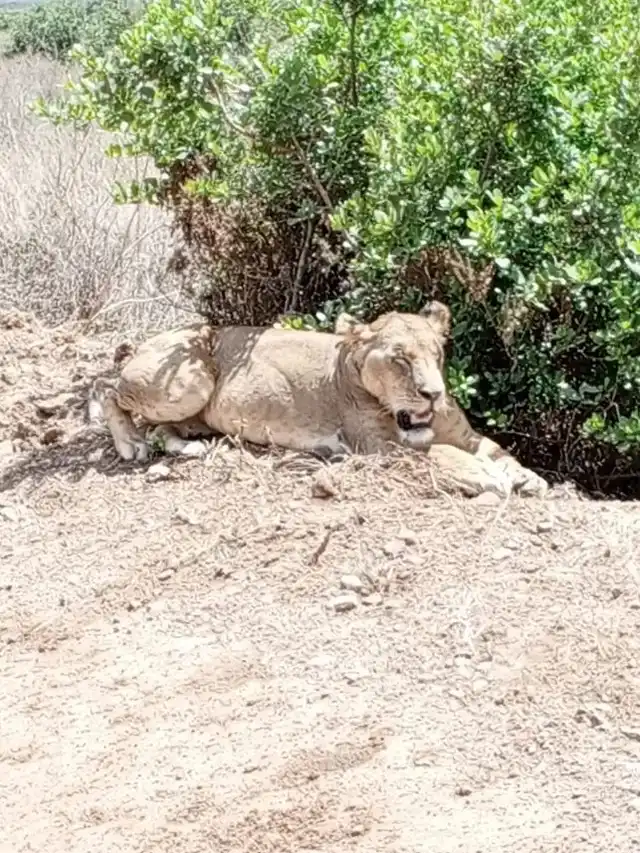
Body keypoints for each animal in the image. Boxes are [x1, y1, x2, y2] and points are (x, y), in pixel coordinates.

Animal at [88, 302, 548, 497]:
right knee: (107, 388)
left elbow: (497, 449)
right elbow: (441, 455)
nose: (432, 395)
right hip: (186, 381)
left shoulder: (465, 435)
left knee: (165, 428)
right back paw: (130, 445)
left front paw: (527, 476)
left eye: (436, 353)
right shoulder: (379, 447)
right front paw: (488, 476)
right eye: (400, 359)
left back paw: (193, 448)